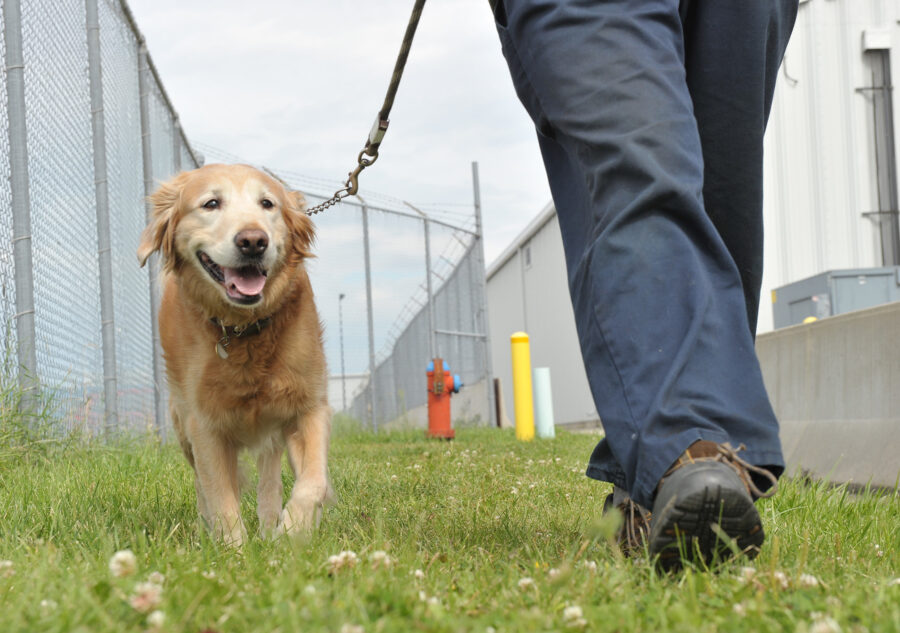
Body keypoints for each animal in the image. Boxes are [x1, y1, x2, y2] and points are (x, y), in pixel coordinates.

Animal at [141, 162, 334, 544]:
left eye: (267, 204)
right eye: (211, 203)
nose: (253, 241)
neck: (244, 328)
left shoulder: (308, 406)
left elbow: (313, 481)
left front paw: (293, 531)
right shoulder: (204, 424)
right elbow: (220, 496)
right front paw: (234, 549)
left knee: (270, 481)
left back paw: (272, 525)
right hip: (182, 426)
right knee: (202, 485)